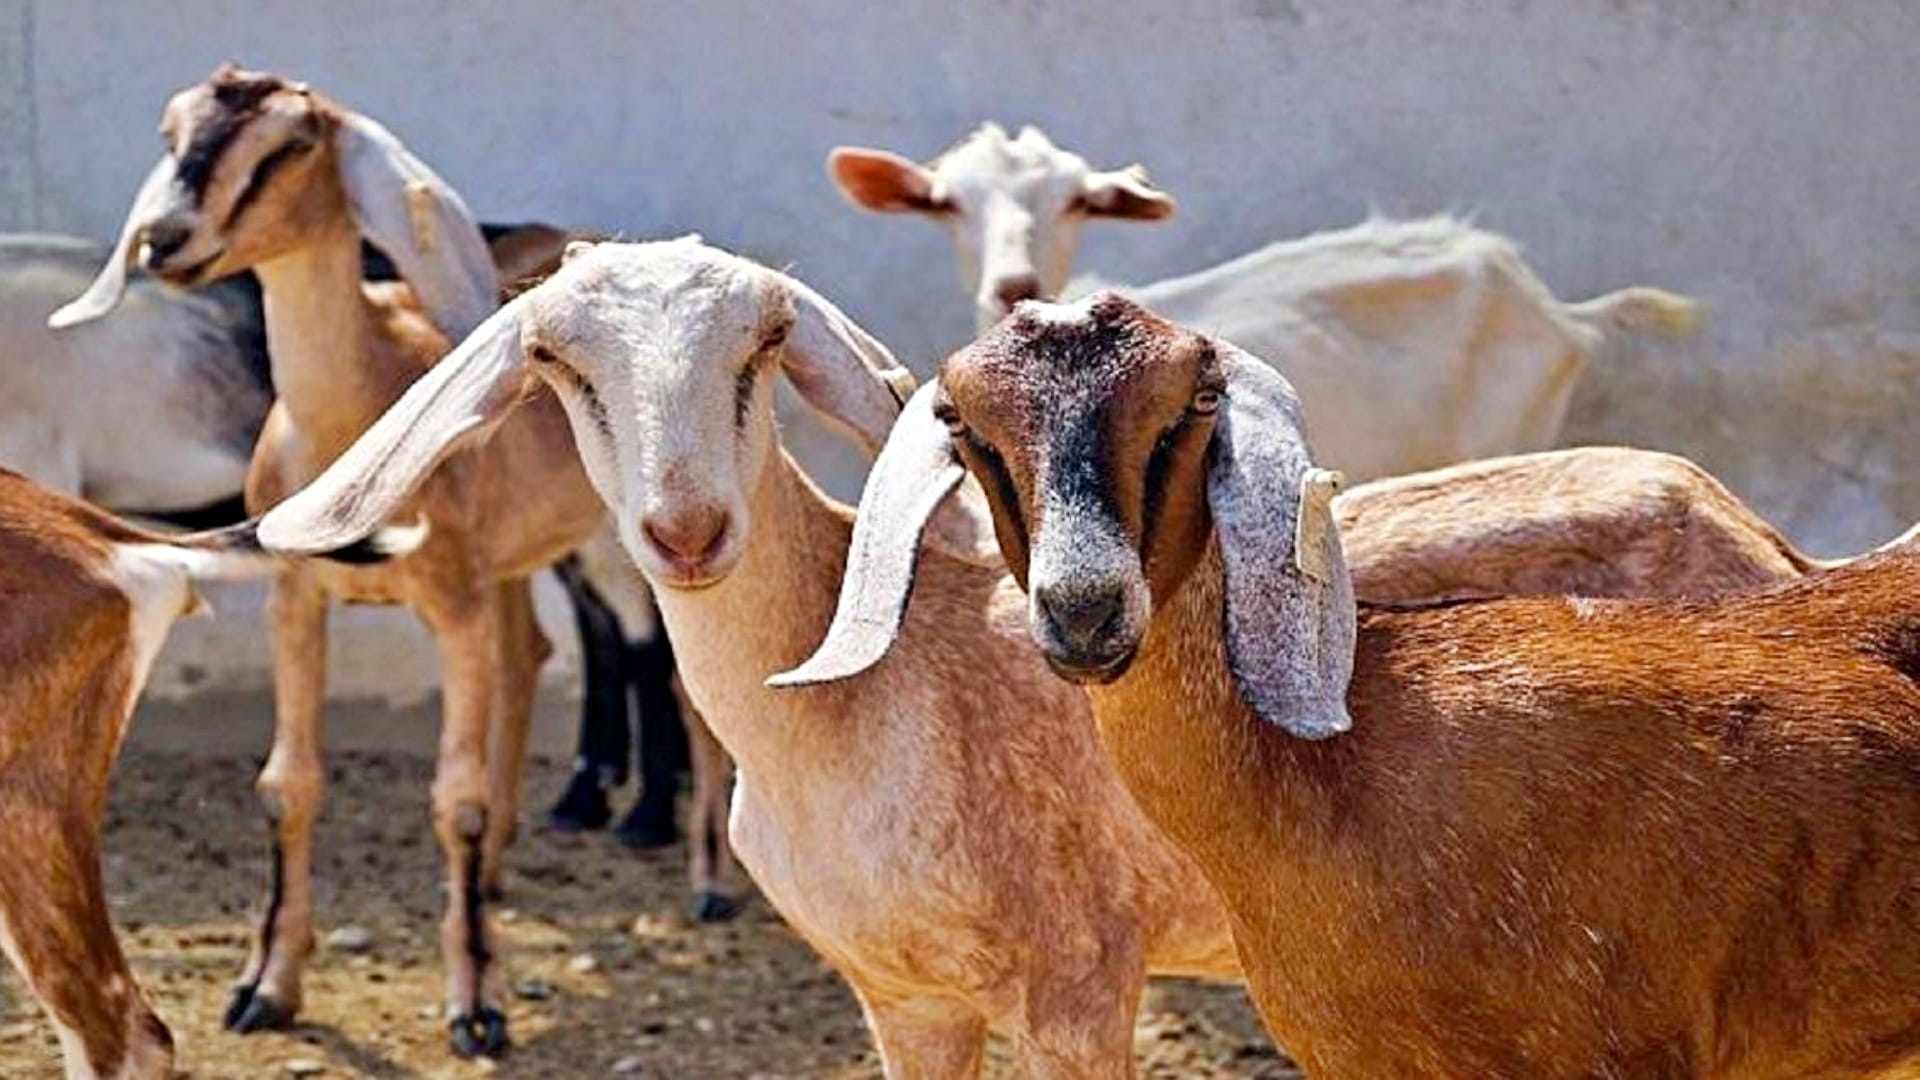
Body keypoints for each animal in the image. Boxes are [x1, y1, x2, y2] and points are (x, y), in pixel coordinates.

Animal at [51, 65, 728, 1057]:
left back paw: (709, 882)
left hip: (635, 542)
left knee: (680, 679)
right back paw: (501, 874)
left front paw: (477, 1007)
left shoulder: (453, 607)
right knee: (533, 655)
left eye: (293, 143)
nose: (167, 241)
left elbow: (456, 799)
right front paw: (265, 988)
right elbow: (287, 783)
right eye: (172, 132)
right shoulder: (298, 602)